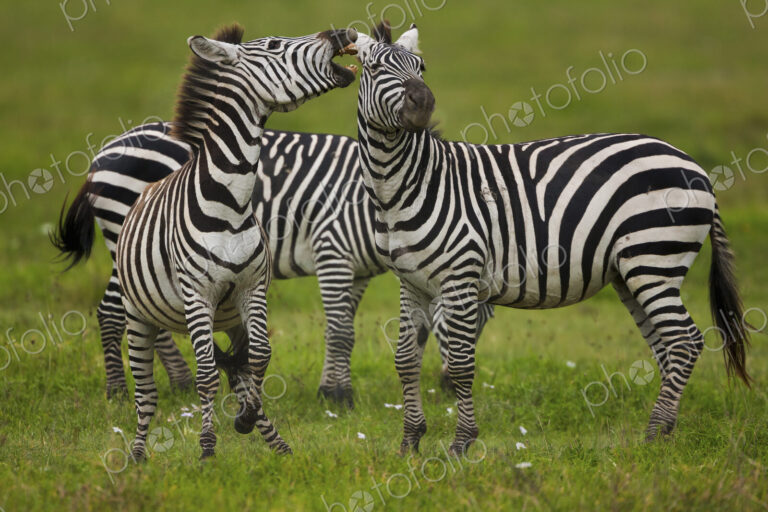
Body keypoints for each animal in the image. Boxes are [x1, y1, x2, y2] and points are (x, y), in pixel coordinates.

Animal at [54, 24, 359, 460]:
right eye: (274, 45)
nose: (343, 32)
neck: (230, 202)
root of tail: (100, 158)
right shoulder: (198, 293)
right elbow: (209, 375)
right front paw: (208, 448)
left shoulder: (251, 289)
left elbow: (258, 357)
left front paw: (246, 420)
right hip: (136, 290)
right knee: (134, 354)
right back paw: (128, 422)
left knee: (237, 362)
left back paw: (273, 440)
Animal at [55, 125, 495, 405]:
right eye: (465, 321)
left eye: (484, 324)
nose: (452, 388)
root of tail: (105, 151)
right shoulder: (332, 250)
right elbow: (341, 332)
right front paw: (338, 397)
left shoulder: (358, 272)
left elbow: (347, 330)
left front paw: (330, 388)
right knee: (113, 312)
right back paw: (117, 393)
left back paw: (177, 382)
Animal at [353, 23, 751, 455]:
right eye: (374, 68)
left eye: (421, 67)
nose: (423, 103)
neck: (407, 185)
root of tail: (696, 167)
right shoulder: (411, 283)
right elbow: (406, 360)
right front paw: (410, 442)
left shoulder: (460, 277)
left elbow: (460, 363)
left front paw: (461, 444)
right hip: (632, 272)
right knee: (666, 346)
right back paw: (663, 435)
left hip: (653, 259)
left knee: (684, 341)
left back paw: (652, 435)